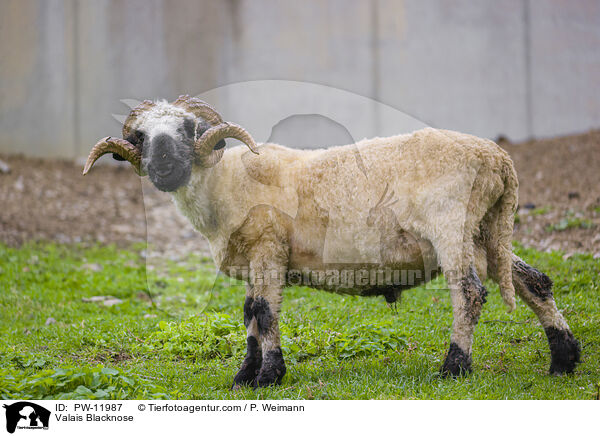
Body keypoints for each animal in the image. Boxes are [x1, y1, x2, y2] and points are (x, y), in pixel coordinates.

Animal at [82, 94, 580, 384]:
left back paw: (454, 368)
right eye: (141, 135)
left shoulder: (268, 247)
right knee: (534, 282)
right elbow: (250, 311)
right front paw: (244, 376)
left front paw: (269, 376)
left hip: (451, 225)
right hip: (485, 231)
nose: (164, 167)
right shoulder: (255, 256)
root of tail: (498, 159)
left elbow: (264, 311)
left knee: (470, 293)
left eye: (189, 129)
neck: (227, 183)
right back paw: (564, 360)